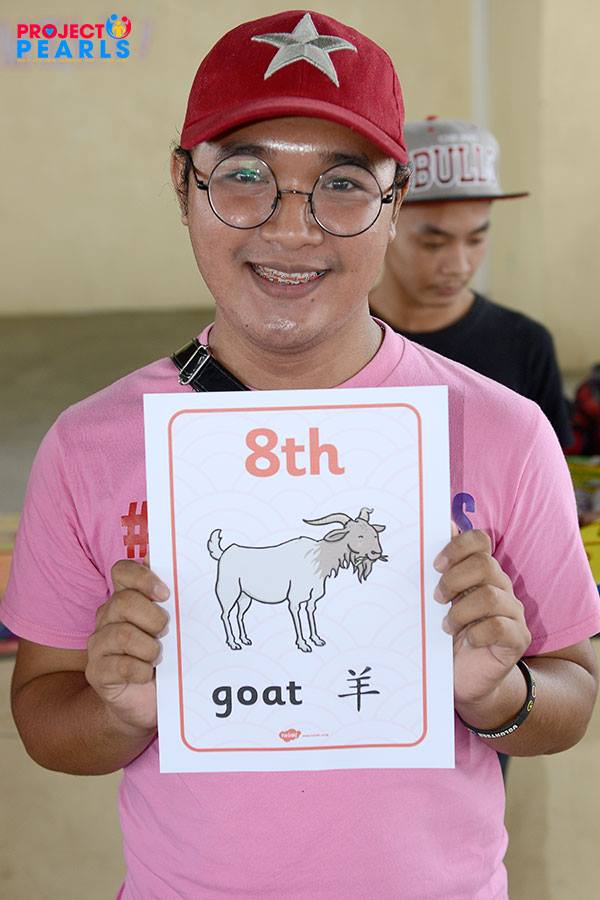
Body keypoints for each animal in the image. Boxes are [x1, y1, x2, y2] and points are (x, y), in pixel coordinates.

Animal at [207, 507, 387, 652]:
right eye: (359, 536)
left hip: (245, 596)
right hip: (228, 593)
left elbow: (310, 611)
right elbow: (297, 615)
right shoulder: (294, 598)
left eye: (374, 534)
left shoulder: (312, 598)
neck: (318, 559)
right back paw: (233, 643)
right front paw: (303, 644)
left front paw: (316, 640)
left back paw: (244, 639)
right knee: (225, 614)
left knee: (239, 615)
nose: (376, 553)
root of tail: (224, 553)